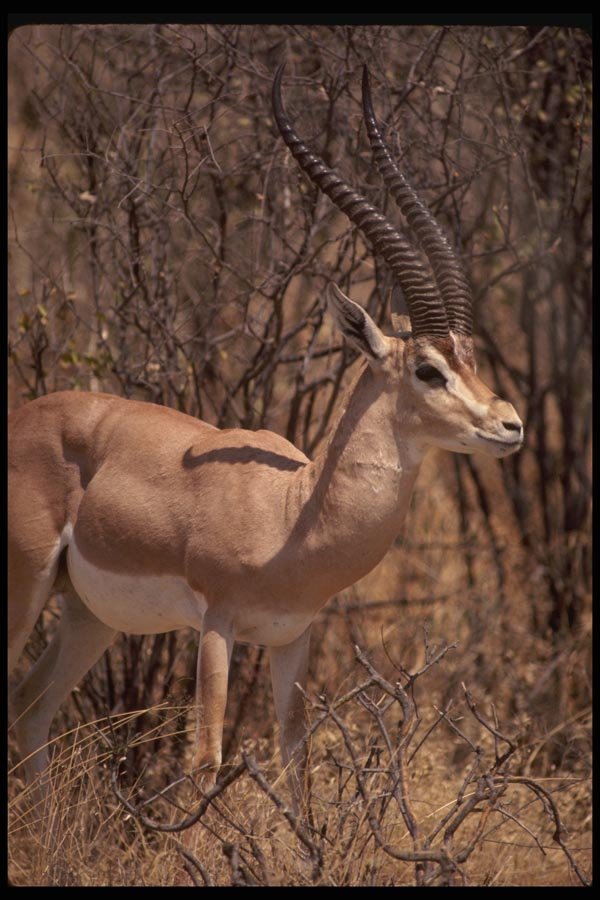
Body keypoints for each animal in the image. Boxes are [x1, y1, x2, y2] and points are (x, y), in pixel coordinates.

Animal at [8, 65, 523, 810]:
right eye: (428, 368)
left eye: (473, 357)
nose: (510, 424)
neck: (292, 515)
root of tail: (24, 417)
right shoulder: (217, 627)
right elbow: (206, 761)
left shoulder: (292, 639)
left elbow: (295, 764)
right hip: (25, 588)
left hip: (87, 615)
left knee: (30, 708)